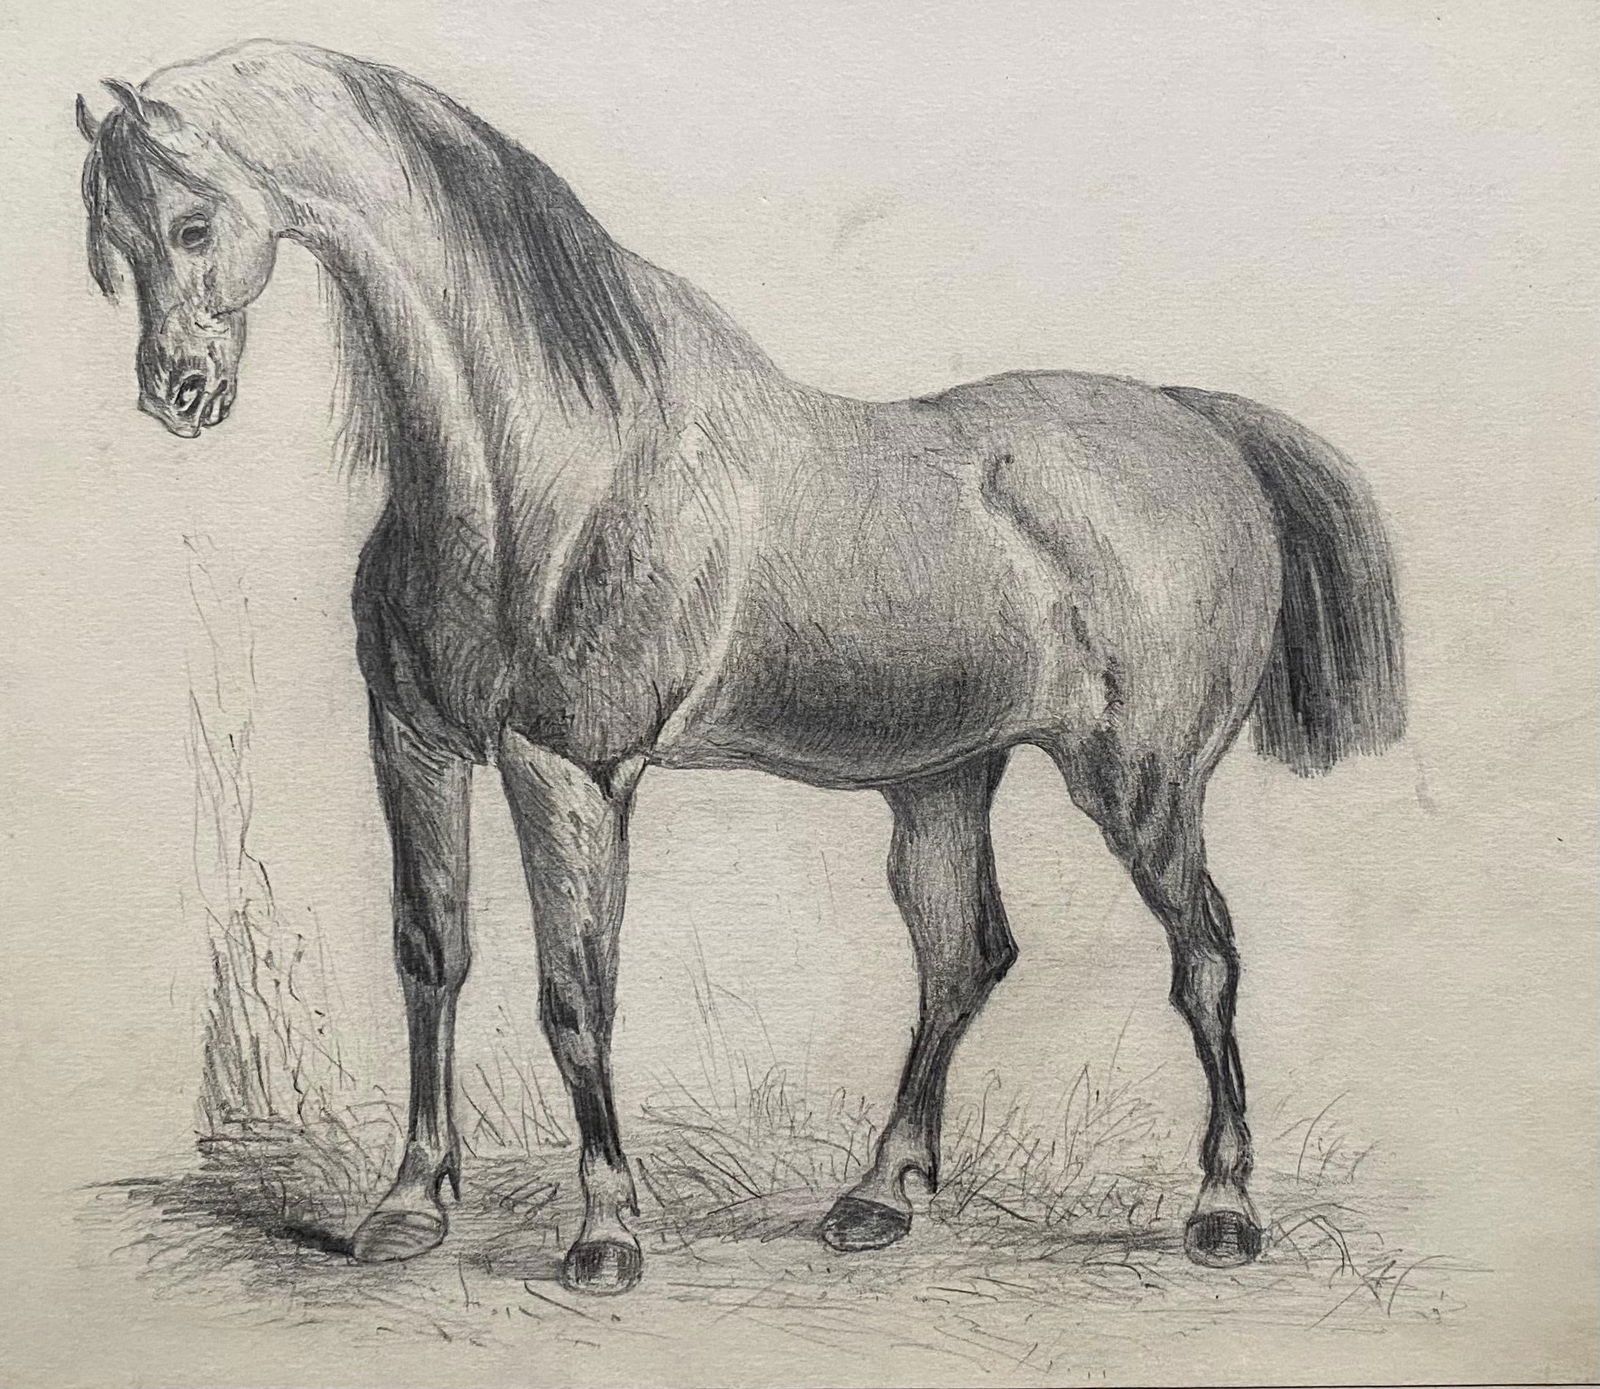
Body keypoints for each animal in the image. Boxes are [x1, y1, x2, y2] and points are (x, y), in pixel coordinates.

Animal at [78, 40, 1405, 1295]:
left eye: (191, 224)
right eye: (109, 249)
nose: (177, 395)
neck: (536, 469)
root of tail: (1200, 424)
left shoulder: (568, 769)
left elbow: (576, 990)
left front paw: (605, 1234)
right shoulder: (415, 745)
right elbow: (429, 956)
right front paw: (408, 1206)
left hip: (1140, 786)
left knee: (1205, 959)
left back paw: (1222, 1212)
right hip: (942, 781)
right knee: (963, 958)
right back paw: (875, 1197)